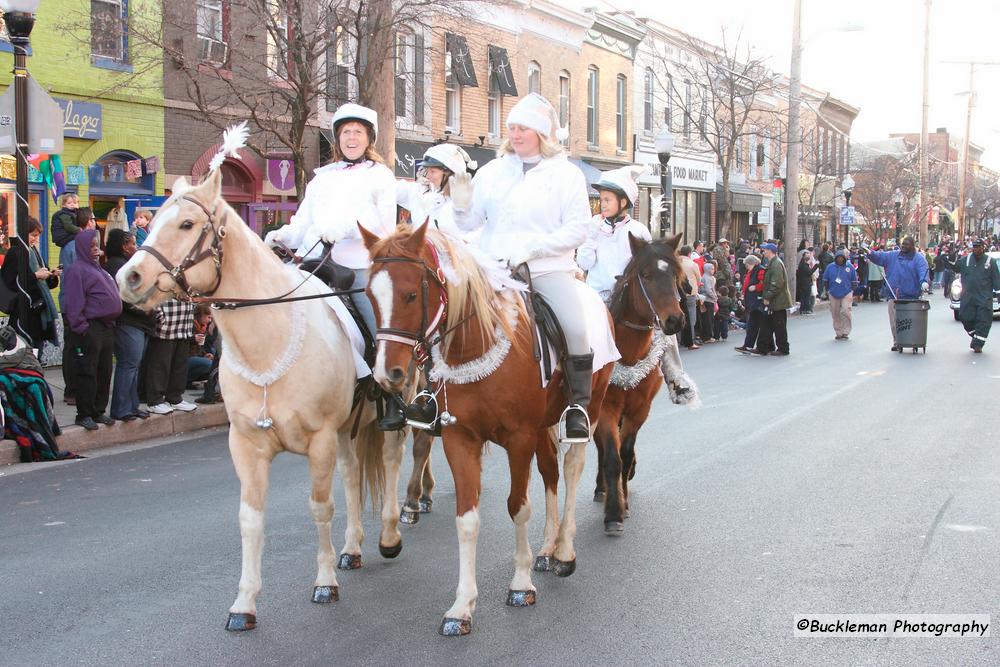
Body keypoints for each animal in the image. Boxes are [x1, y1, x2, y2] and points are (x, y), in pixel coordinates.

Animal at [118, 167, 410, 632]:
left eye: (186, 225)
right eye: (156, 216)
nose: (127, 279)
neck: (268, 341)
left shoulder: (320, 440)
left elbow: (320, 507)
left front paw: (324, 583)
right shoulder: (247, 445)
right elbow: (250, 520)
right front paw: (244, 604)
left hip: (393, 410)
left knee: (391, 460)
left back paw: (388, 537)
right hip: (348, 427)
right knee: (352, 476)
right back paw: (352, 549)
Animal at [358, 223, 608, 636]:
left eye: (411, 294)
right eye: (368, 295)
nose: (386, 374)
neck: (479, 343)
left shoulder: (519, 438)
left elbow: (518, 506)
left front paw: (520, 585)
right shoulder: (461, 439)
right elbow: (467, 519)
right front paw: (462, 607)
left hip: (591, 408)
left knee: (572, 469)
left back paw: (564, 552)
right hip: (543, 424)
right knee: (550, 472)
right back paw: (547, 548)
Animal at [592, 232, 688, 536]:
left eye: (674, 274)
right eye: (644, 275)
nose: (675, 320)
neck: (628, 354)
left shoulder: (639, 410)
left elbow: (625, 453)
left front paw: (622, 501)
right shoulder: (606, 409)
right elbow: (612, 458)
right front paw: (613, 513)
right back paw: (601, 488)